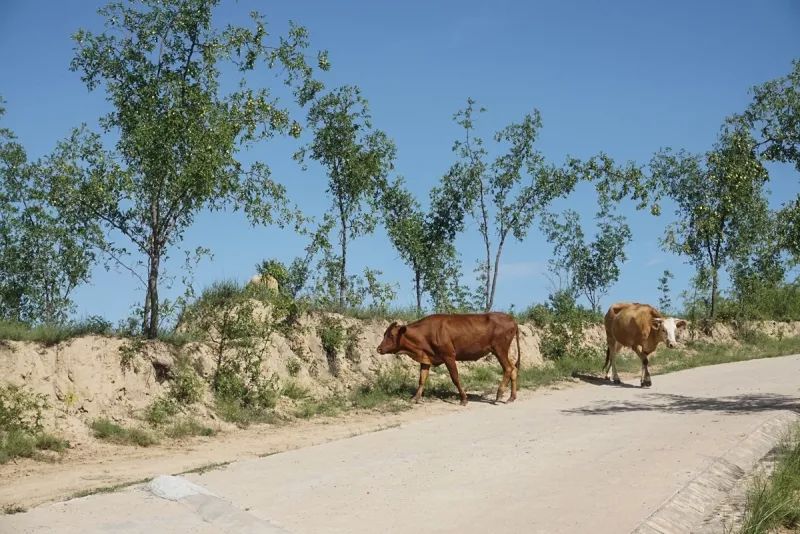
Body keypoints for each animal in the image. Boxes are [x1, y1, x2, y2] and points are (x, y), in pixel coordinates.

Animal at [376, 314, 520, 406]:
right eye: (384, 334)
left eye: (391, 335)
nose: (379, 349)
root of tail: (511, 319)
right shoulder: (426, 358)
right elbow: (422, 379)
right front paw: (415, 398)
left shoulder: (449, 356)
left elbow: (455, 377)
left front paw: (463, 398)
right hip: (502, 350)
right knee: (513, 369)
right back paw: (511, 397)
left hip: (499, 349)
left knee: (508, 368)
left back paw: (499, 393)